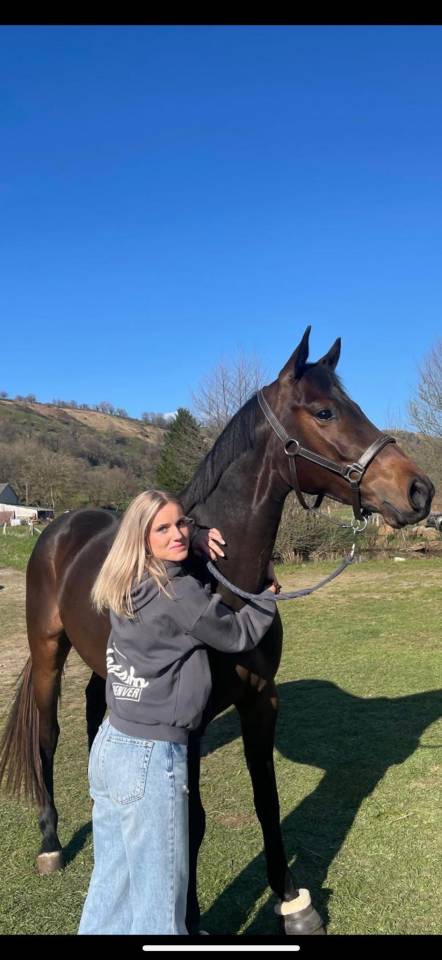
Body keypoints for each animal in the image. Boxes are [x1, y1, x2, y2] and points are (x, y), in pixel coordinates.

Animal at [0, 327, 434, 935]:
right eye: (324, 411)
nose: (419, 491)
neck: (222, 582)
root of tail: (62, 526)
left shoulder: (261, 700)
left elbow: (267, 800)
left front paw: (292, 902)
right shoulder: (190, 723)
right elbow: (192, 820)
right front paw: (189, 915)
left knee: (94, 709)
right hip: (47, 653)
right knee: (47, 733)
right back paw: (50, 842)